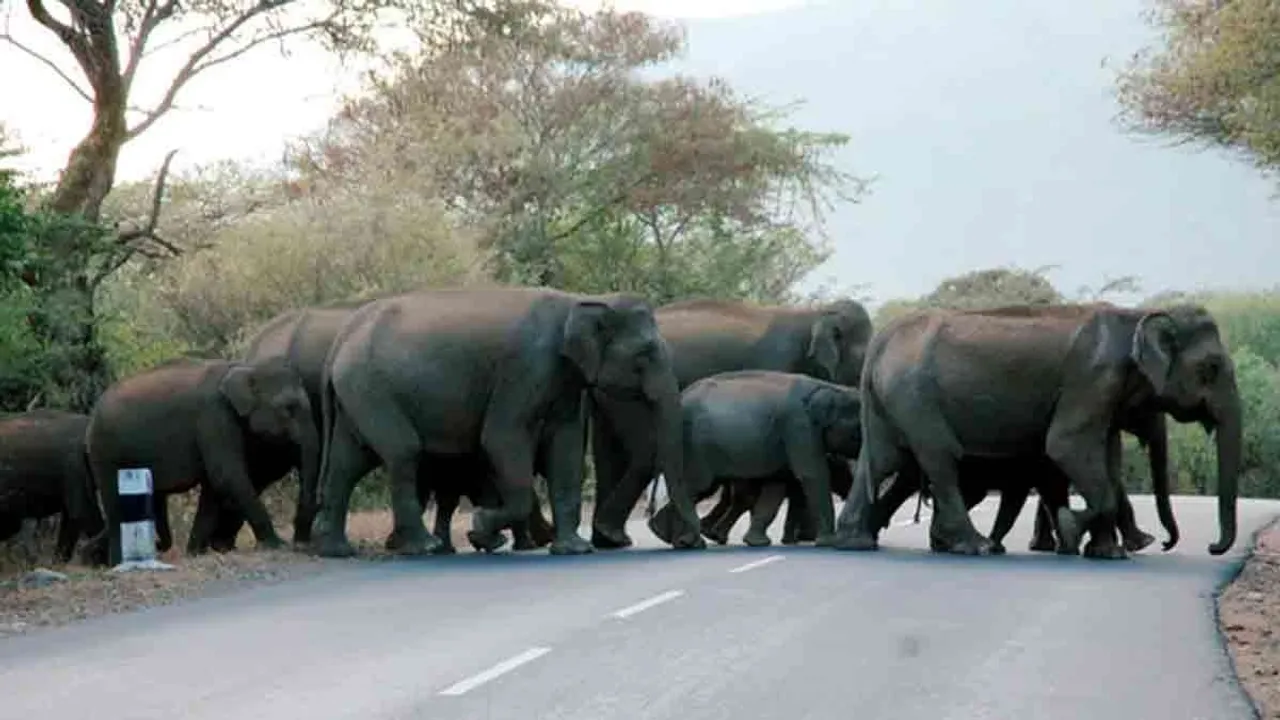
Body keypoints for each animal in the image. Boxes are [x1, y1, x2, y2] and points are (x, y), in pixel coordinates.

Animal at [83, 357, 321, 566]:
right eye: (288, 408)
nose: (299, 545)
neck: (244, 368)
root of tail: (92, 414)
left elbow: (214, 488)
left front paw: (196, 553)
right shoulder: (214, 416)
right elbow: (227, 476)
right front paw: (276, 544)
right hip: (104, 452)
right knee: (117, 506)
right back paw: (115, 562)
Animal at [309, 286, 705, 559]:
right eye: (644, 355)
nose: (693, 543)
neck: (580, 302)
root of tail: (342, 337)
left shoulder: (563, 380)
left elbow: (566, 449)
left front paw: (573, 549)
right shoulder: (524, 368)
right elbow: (501, 439)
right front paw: (481, 528)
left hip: (356, 394)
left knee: (347, 462)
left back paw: (335, 549)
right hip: (371, 388)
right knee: (403, 453)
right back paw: (425, 547)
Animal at [647, 370, 863, 548]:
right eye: (858, 430)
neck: (831, 387)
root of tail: (681, 396)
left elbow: (774, 488)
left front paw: (757, 542)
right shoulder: (798, 426)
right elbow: (812, 475)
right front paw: (828, 542)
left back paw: (667, 535)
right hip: (694, 446)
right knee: (697, 486)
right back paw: (682, 539)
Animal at [833, 302, 1240, 559]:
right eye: (1211, 367)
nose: (1211, 548)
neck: (1138, 315)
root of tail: (882, 340)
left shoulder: (1103, 394)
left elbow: (1105, 455)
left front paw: (1107, 553)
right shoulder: (1091, 379)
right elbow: (1065, 446)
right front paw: (1073, 528)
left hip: (893, 400)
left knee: (883, 459)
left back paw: (855, 543)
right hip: (914, 397)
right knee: (939, 457)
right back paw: (976, 547)